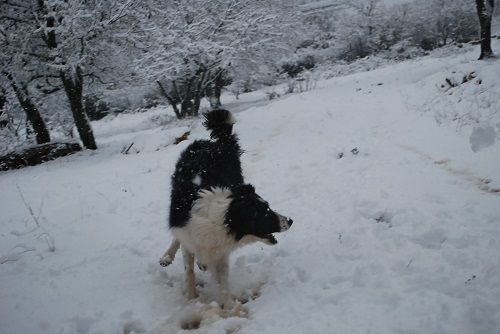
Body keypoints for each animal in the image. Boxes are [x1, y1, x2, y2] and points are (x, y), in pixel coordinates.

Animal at [160, 109, 292, 308]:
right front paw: (191, 298)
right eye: (264, 213)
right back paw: (167, 256)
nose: (290, 221)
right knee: (177, 238)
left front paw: (228, 306)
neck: (221, 218)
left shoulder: (220, 251)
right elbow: (189, 271)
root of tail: (217, 144)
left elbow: (222, 280)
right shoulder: (189, 236)